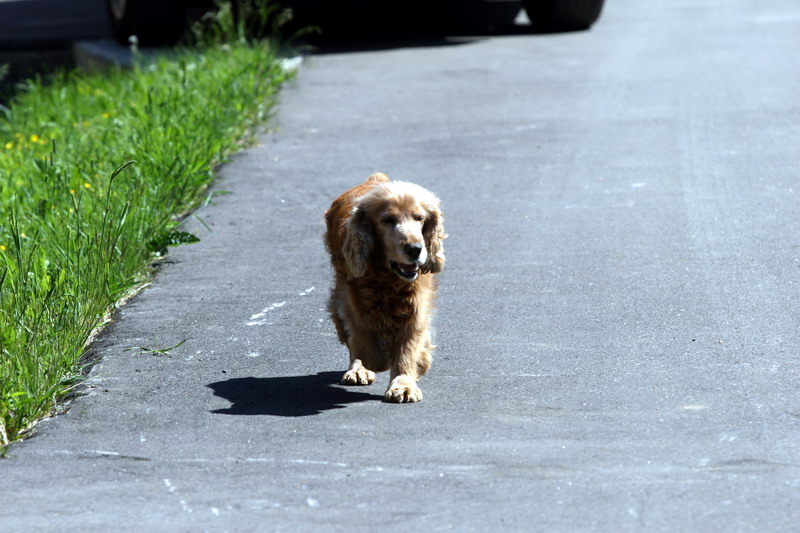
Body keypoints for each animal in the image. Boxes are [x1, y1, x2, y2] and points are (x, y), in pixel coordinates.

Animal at [326, 172, 450, 402]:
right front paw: (378, 359)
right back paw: (358, 370)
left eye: (419, 218)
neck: (388, 277)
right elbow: (364, 337)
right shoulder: (352, 296)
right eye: (387, 220)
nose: (415, 249)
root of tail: (375, 178)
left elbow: (408, 347)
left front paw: (404, 384)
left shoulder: (416, 305)